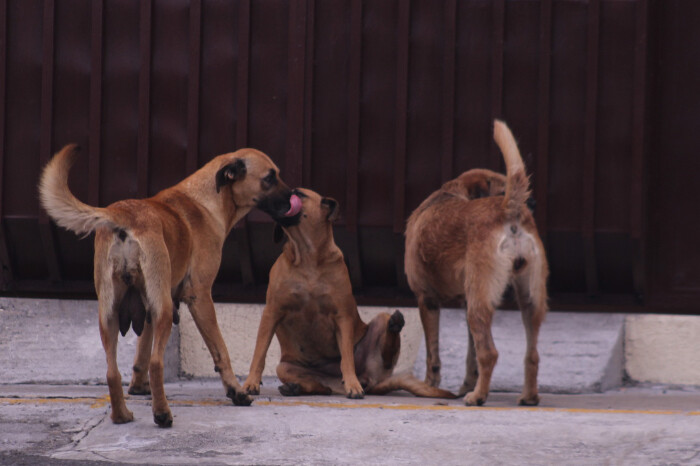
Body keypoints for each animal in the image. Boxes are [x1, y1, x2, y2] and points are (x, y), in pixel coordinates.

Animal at [39, 145, 300, 426]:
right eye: (269, 178)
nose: (295, 199)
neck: (206, 200)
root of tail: (122, 215)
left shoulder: (148, 304)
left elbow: (142, 349)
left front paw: (139, 386)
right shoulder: (200, 297)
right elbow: (220, 350)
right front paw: (236, 391)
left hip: (111, 314)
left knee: (112, 371)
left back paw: (122, 415)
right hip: (163, 309)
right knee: (157, 363)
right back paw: (162, 414)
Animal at [243, 187, 456, 398]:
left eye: (299, 194)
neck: (307, 255)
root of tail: (372, 382)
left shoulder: (342, 317)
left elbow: (346, 358)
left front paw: (352, 384)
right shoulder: (272, 312)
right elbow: (259, 353)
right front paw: (251, 382)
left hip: (379, 324)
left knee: (384, 348)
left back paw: (393, 327)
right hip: (286, 368)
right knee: (320, 387)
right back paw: (296, 388)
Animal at [404, 121, 548, 408]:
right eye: (501, 187)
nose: (534, 202)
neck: (450, 192)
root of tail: (509, 209)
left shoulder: (427, 300)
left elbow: (433, 355)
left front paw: (429, 387)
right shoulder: (465, 301)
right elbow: (470, 355)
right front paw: (466, 383)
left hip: (479, 303)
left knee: (489, 353)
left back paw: (478, 397)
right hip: (528, 299)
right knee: (532, 354)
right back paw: (528, 396)